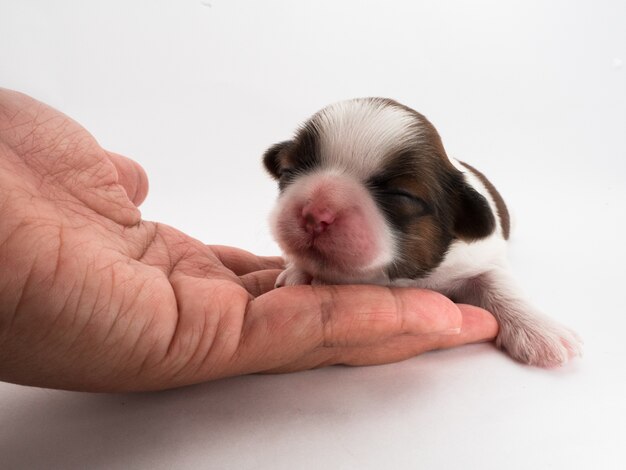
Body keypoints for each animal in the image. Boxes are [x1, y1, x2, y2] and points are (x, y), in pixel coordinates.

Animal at [262, 97, 580, 370]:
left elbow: (500, 284)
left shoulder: (483, 257)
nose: (314, 214)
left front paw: (541, 330)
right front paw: (300, 272)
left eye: (401, 195)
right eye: (289, 171)